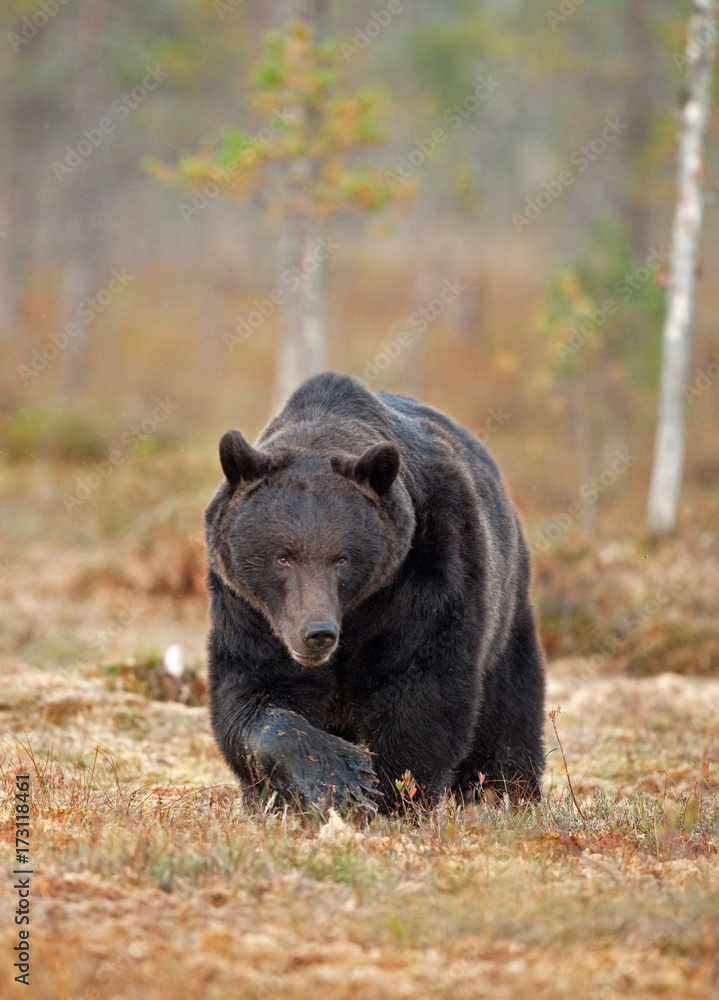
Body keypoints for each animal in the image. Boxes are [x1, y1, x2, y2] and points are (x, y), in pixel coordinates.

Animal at [205, 371, 545, 813]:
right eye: (283, 557)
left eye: (342, 558)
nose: (317, 633)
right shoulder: (251, 610)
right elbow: (256, 692)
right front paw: (333, 778)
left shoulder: (426, 572)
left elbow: (421, 688)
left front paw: (388, 796)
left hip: (505, 605)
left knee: (509, 708)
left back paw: (507, 793)